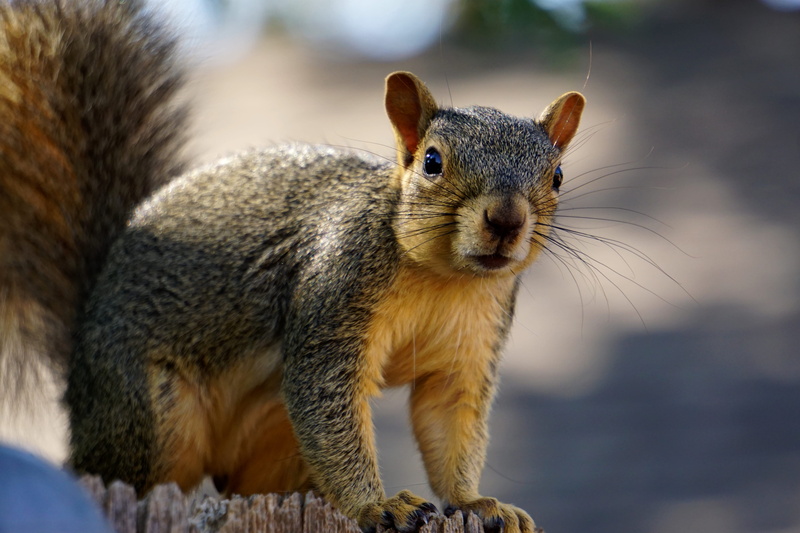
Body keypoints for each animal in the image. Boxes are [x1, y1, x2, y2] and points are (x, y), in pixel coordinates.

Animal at [0, 1, 586, 532]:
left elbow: (448, 424)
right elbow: (327, 403)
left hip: (269, 438)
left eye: (557, 175)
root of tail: (79, 365)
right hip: (151, 413)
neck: (444, 278)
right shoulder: (334, 293)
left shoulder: (470, 347)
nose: (506, 219)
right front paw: (379, 506)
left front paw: (477, 503)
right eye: (432, 162)